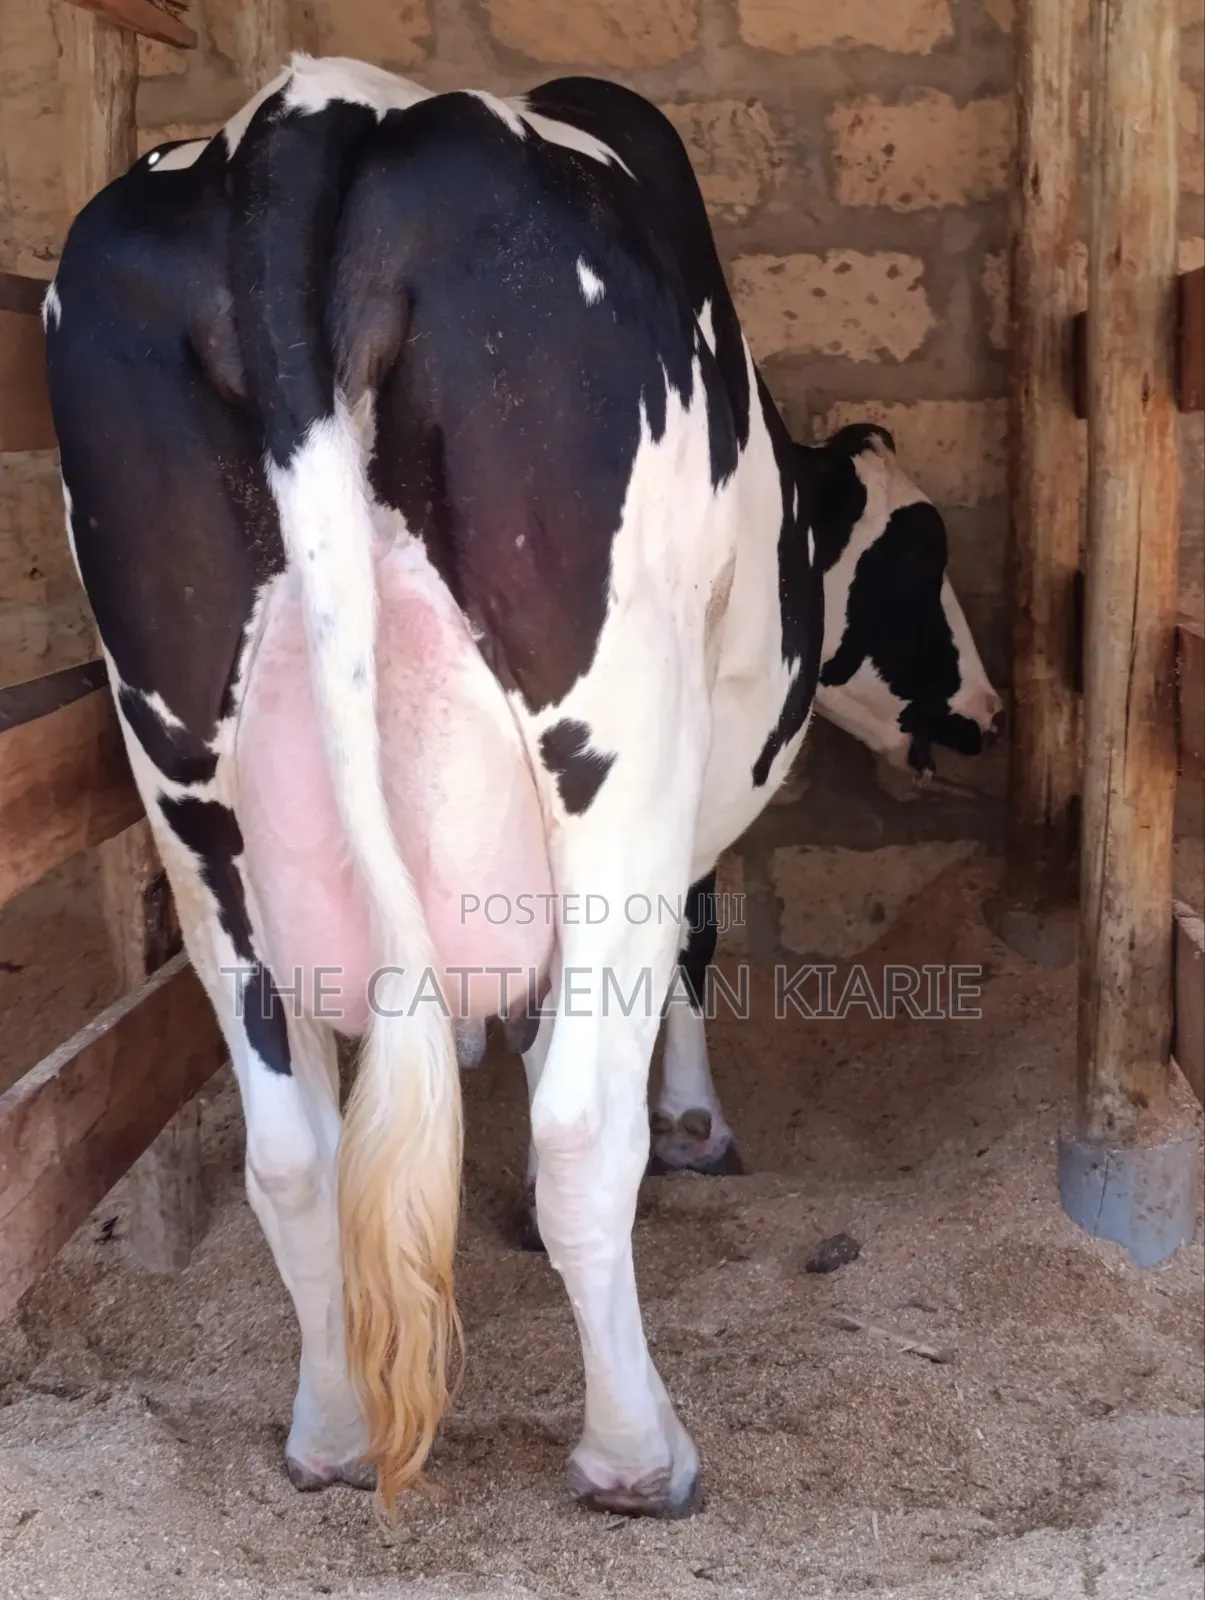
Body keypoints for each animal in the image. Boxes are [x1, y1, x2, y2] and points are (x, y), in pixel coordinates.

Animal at [44, 56, 1002, 1519]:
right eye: (917, 561)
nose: (993, 715)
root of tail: (305, 115)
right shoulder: (685, 814)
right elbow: (682, 961)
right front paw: (697, 1125)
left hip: (187, 792)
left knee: (293, 1148)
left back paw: (330, 1431)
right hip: (614, 753)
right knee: (575, 1129)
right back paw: (636, 1454)